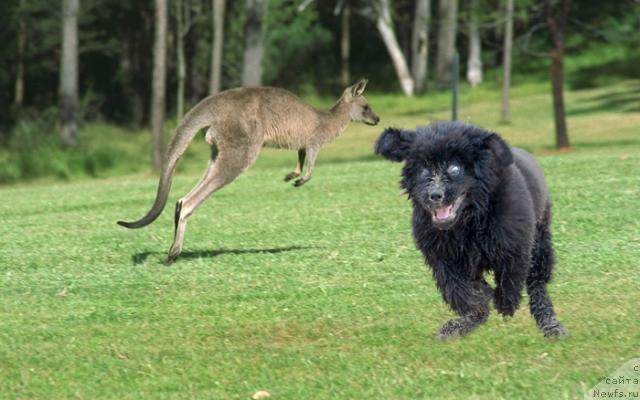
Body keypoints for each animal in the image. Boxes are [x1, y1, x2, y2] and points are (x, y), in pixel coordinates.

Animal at [372, 122, 568, 338]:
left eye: (455, 168)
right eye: (423, 170)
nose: (434, 195)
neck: (468, 221)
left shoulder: (514, 244)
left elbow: (510, 278)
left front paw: (504, 304)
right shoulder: (442, 257)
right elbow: (459, 290)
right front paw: (474, 308)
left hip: (541, 241)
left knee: (537, 283)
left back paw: (550, 325)